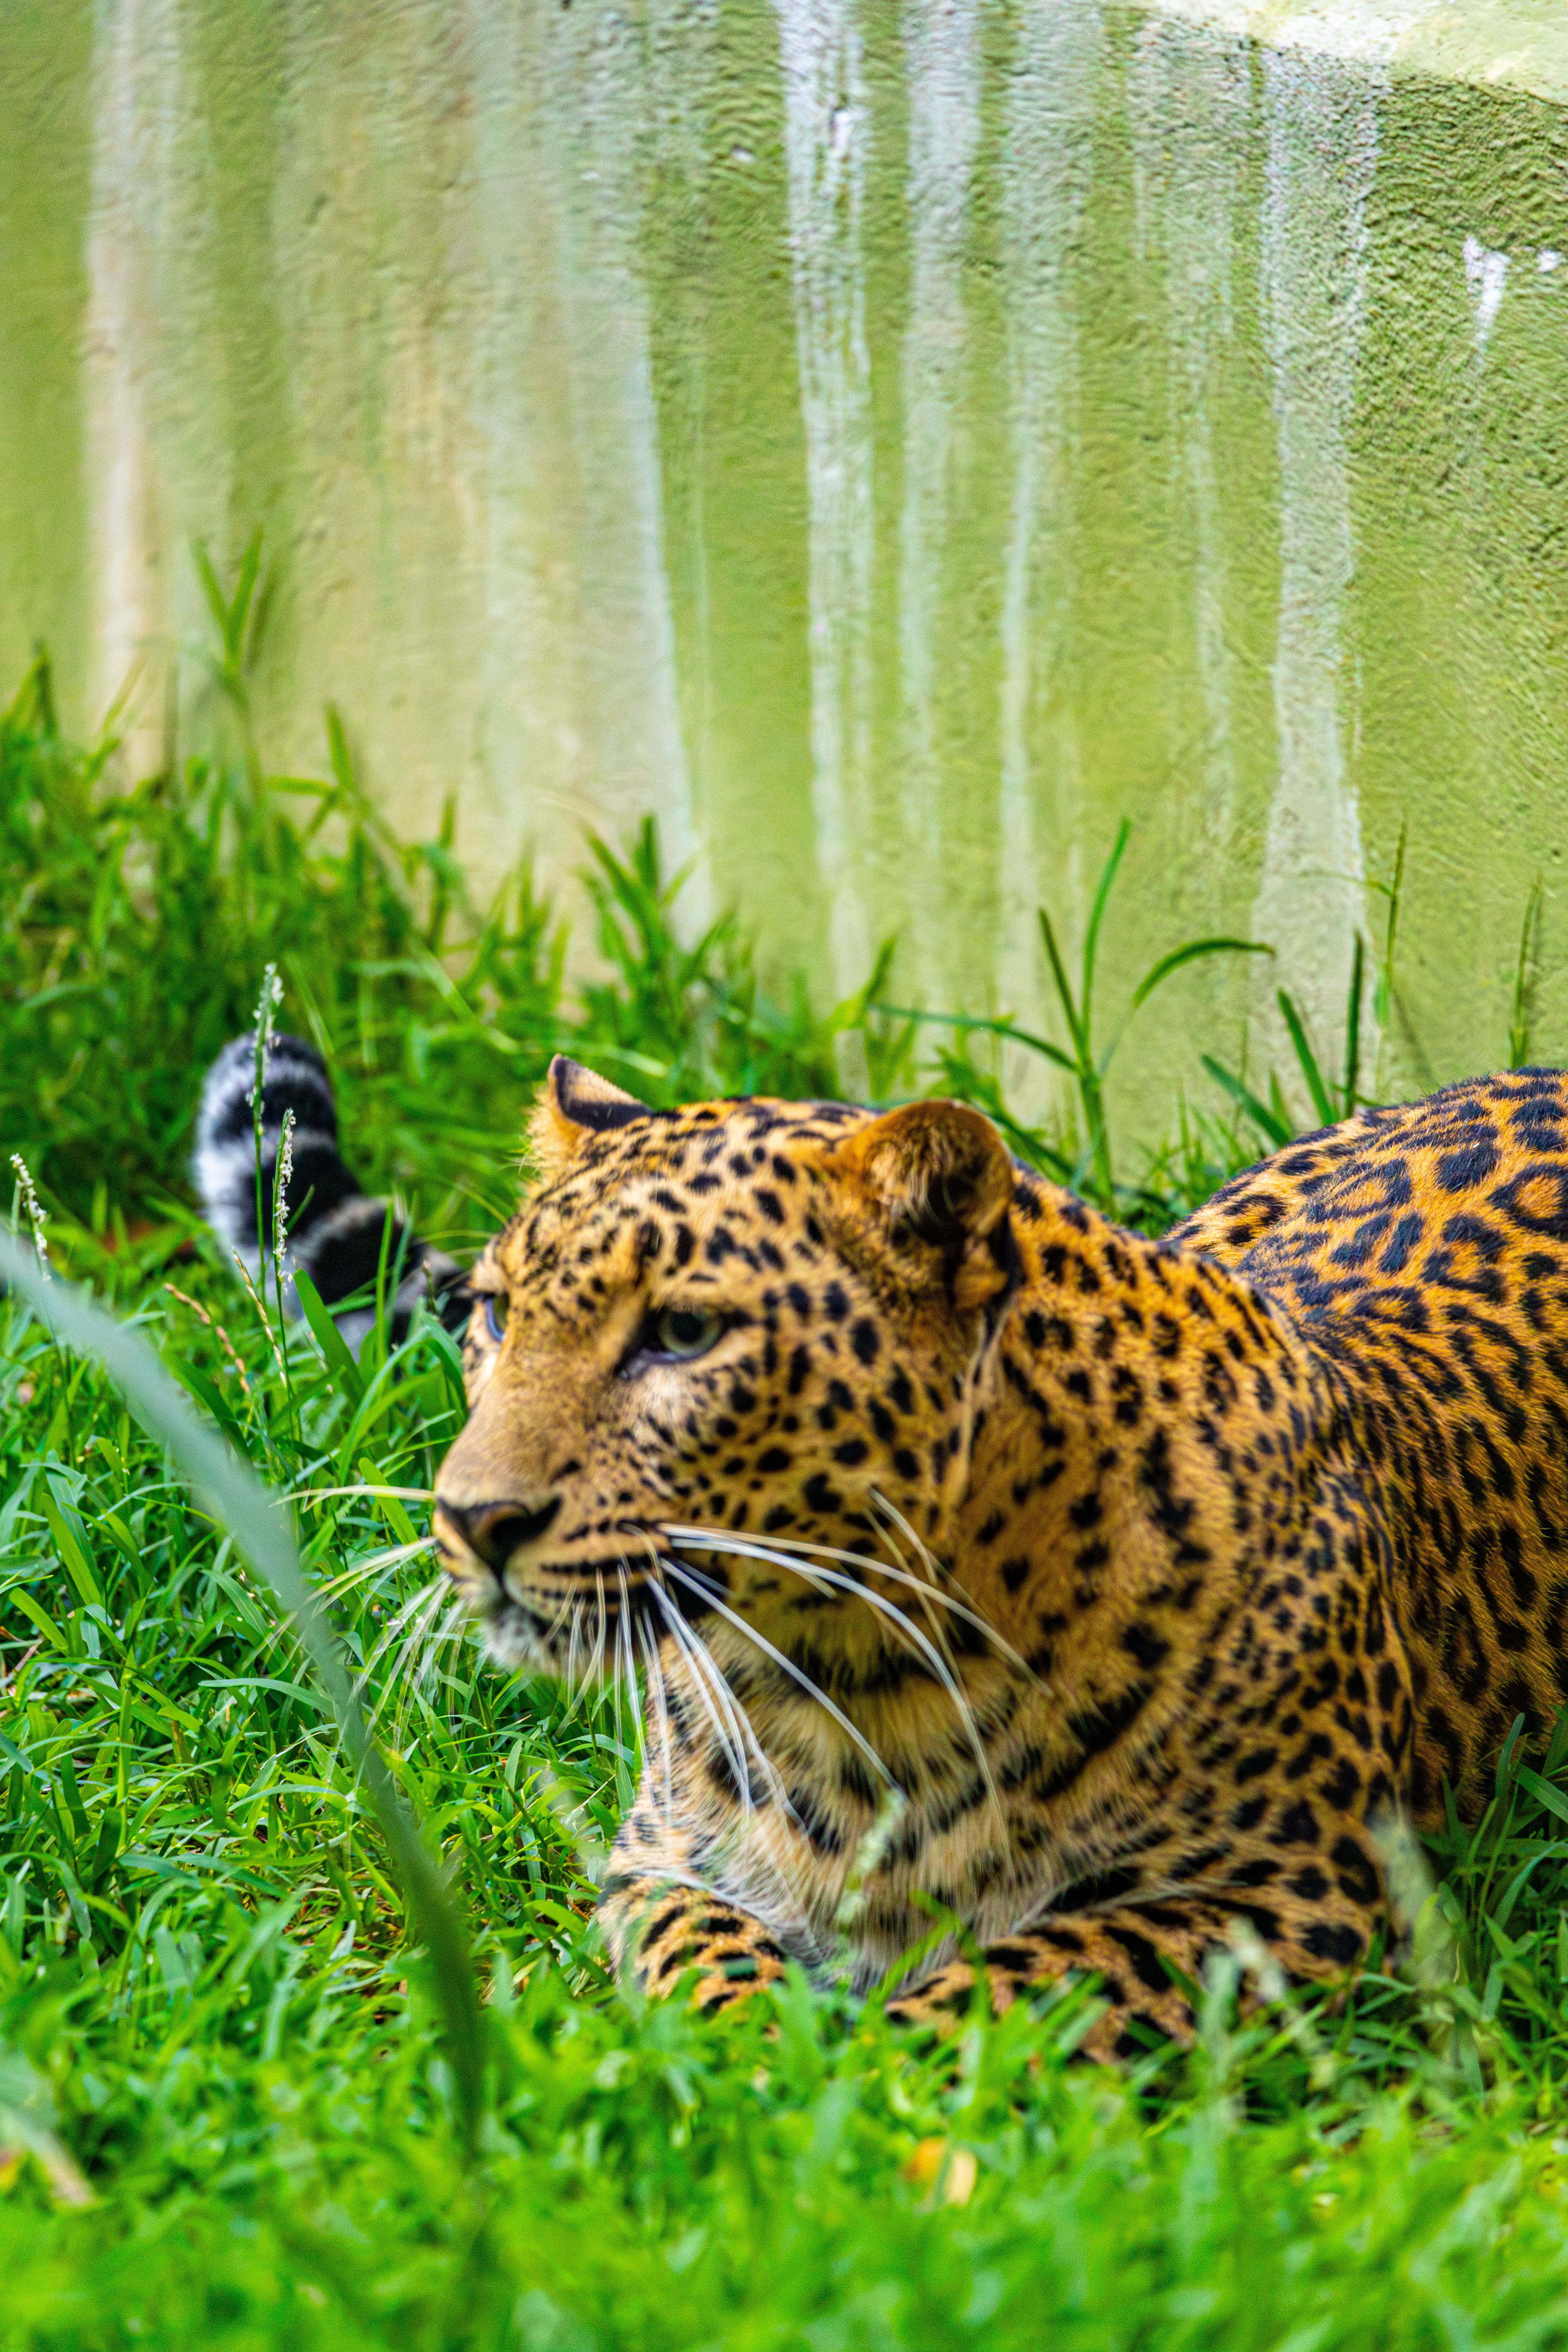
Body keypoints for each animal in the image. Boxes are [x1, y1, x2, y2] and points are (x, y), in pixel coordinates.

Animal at [200, 1039, 1568, 2059]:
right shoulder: (661, 1865)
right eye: (495, 1315)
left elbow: (1031, 1980)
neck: (850, 1674)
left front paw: (859, 2083)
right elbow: (706, 1958)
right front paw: (757, 2056)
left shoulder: (1300, 1893)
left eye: (684, 1335)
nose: (474, 1521)